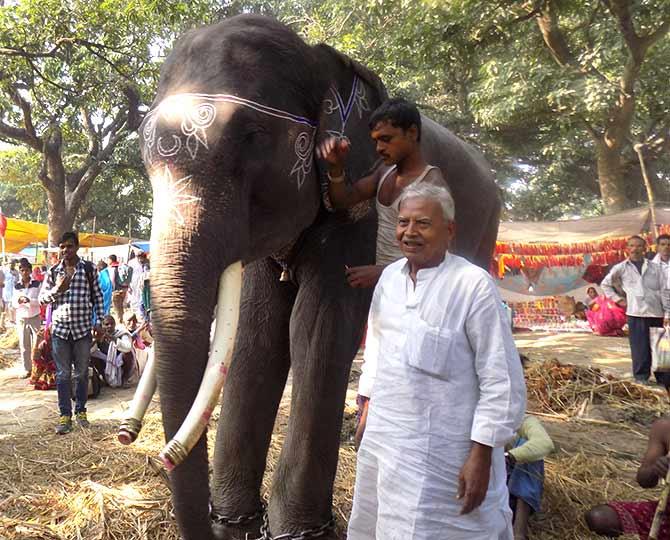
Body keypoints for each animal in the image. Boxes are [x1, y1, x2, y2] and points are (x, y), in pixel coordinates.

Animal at [129, 12, 502, 540]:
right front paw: (237, 527)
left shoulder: (357, 212)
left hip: (486, 226)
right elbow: (257, 332)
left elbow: (318, 326)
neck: (317, 57)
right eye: (143, 156)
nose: (142, 444)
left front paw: (296, 532)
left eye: (252, 136)